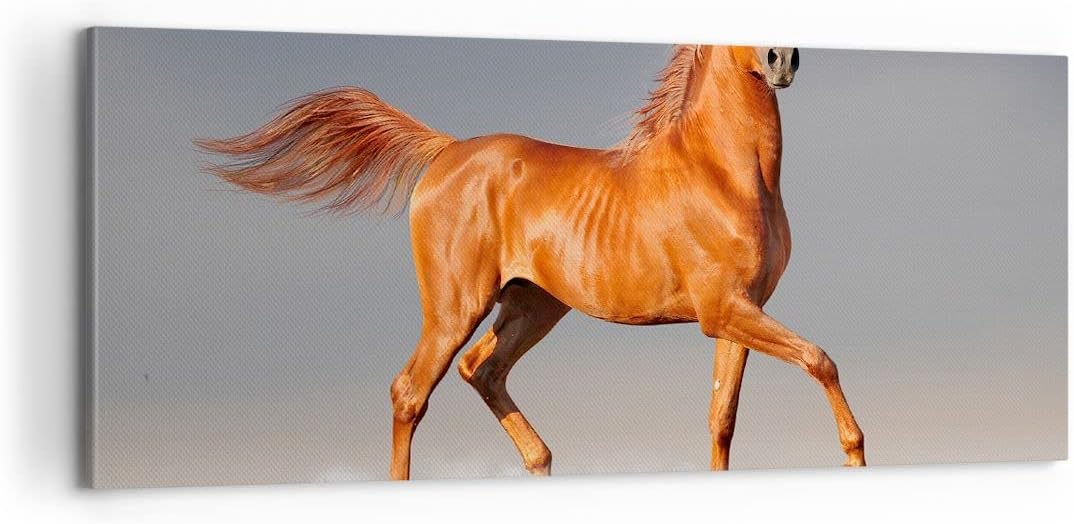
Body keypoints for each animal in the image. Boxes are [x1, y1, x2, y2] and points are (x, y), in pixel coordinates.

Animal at [197, 44, 865, 480]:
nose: (782, 58)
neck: (725, 172)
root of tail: (447, 153)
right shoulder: (722, 310)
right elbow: (821, 360)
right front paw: (855, 452)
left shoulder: (740, 312)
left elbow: (721, 418)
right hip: (456, 307)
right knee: (411, 392)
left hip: (532, 306)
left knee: (482, 371)